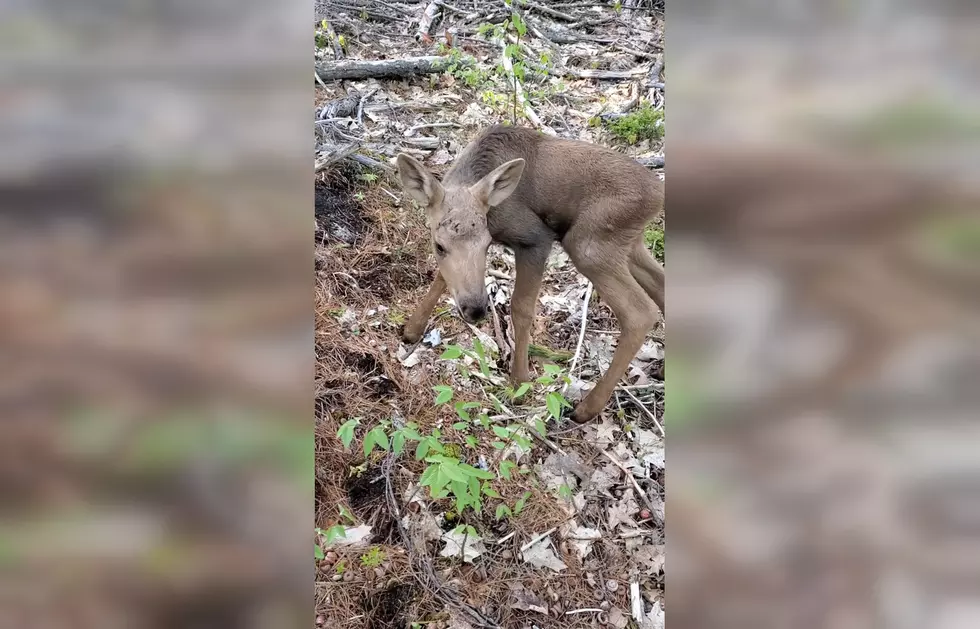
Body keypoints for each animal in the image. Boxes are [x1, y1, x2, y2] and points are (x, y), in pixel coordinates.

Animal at [398, 122, 668, 422]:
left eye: (487, 243)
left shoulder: (536, 238)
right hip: (629, 243)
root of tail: (659, 194)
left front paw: (520, 380)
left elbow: (522, 307)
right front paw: (412, 330)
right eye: (439, 245)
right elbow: (441, 278)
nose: (476, 310)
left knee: (640, 312)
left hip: (589, 244)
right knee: (662, 285)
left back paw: (587, 407)